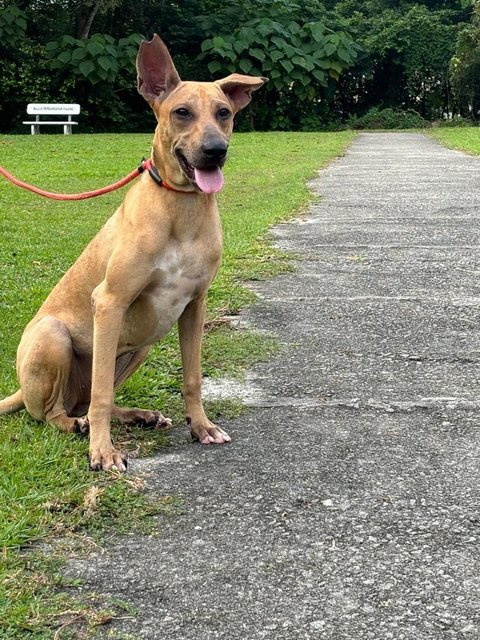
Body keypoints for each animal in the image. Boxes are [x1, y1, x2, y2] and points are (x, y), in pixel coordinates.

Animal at [0, 36, 266, 476]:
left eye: (224, 113)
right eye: (181, 112)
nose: (216, 150)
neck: (181, 210)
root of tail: (22, 391)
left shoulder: (194, 305)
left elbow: (192, 377)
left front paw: (202, 426)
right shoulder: (110, 302)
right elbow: (102, 395)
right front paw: (103, 451)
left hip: (141, 342)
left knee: (88, 401)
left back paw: (139, 415)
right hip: (53, 336)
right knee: (60, 411)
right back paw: (78, 425)